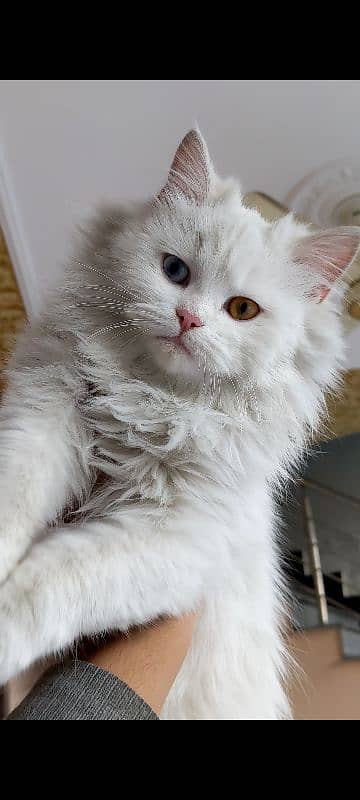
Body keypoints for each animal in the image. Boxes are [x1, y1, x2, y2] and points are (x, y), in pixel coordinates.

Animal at [0, 131, 358, 720]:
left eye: (242, 309)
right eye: (174, 271)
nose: (188, 319)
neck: (151, 403)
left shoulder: (180, 538)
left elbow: (50, 580)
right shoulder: (45, 417)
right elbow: (16, 502)